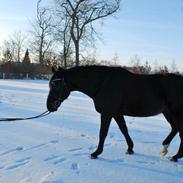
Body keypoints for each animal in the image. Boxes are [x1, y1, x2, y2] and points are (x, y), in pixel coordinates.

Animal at [46, 65, 183, 162]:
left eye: (56, 84)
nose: (49, 106)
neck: (102, 84)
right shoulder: (116, 113)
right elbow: (124, 130)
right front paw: (130, 149)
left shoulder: (107, 113)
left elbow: (103, 133)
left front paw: (96, 153)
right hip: (168, 112)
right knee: (175, 128)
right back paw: (165, 147)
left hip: (176, 113)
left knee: (180, 131)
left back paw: (176, 156)